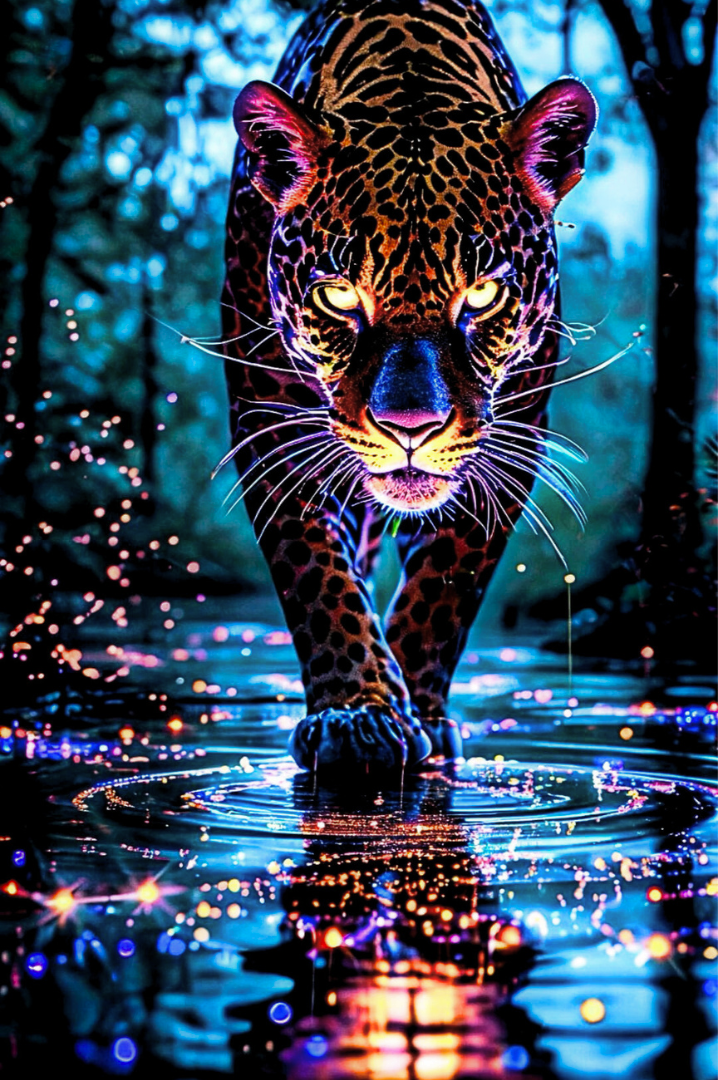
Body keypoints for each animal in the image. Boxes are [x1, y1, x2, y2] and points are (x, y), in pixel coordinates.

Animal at [220, 0, 596, 776]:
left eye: (482, 294)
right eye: (338, 296)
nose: (411, 428)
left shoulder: (510, 440)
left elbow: (442, 591)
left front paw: (416, 711)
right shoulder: (271, 424)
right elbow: (315, 575)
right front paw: (357, 714)